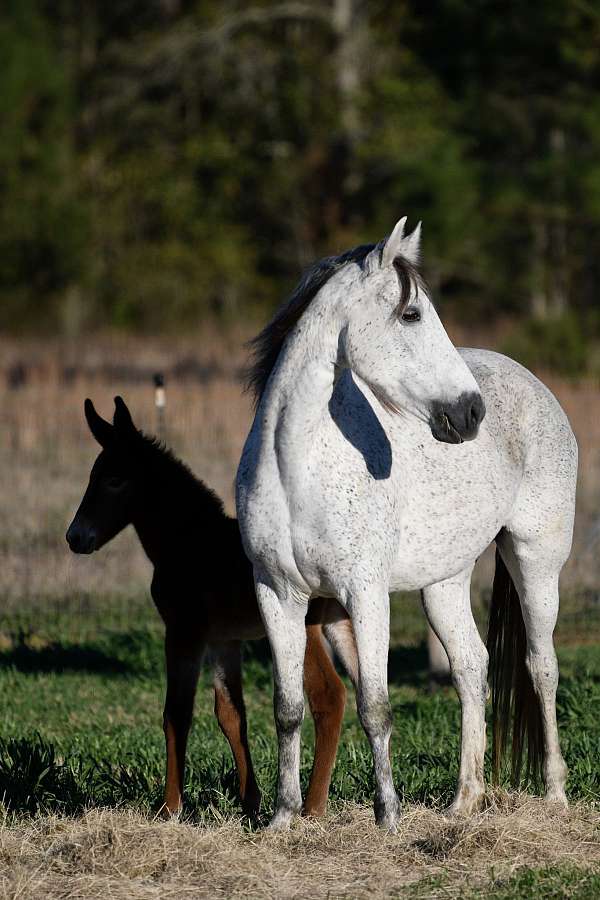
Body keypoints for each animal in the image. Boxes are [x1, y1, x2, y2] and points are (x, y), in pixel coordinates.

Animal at [68, 398, 352, 820]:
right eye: (93, 476)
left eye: (115, 480)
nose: (75, 537)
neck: (186, 541)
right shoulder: (224, 640)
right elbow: (231, 713)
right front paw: (250, 803)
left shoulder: (183, 630)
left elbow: (176, 713)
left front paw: (169, 807)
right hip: (342, 623)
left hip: (305, 629)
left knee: (329, 696)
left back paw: (313, 807)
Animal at [237, 218, 580, 828]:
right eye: (413, 315)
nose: (470, 412)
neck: (296, 465)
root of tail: (534, 385)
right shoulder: (276, 593)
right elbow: (287, 708)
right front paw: (282, 818)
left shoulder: (365, 593)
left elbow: (375, 706)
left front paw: (388, 818)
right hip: (444, 582)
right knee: (471, 668)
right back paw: (464, 801)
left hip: (536, 562)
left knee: (542, 668)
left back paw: (555, 795)